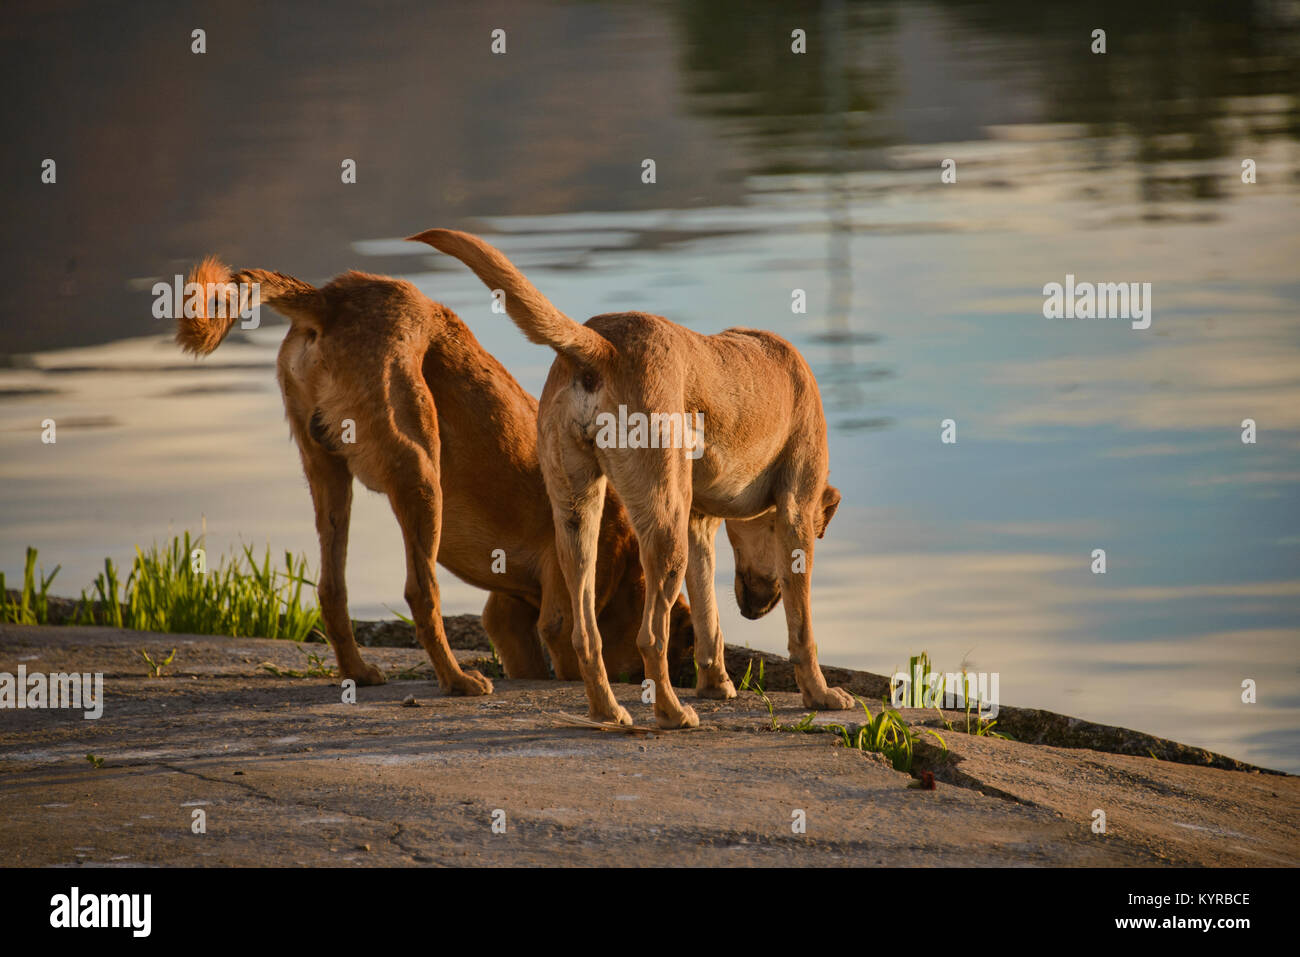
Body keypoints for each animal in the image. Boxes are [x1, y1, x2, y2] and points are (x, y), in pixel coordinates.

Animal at [180, 257, 702, 696]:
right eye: (684, 646)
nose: (683, 679)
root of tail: (333, 296)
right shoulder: (558, 604)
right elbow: (573, 649)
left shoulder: (505, 613)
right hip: (420, 474)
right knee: (421, 592)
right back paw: (456, 680)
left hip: (327, 474)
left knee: (332, 589)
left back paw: (359, 673)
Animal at [410, 227, 847, 728]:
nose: (756, 609)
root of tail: (602, 345)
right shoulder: (795, 512)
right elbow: (801, 628)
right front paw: (820, 694)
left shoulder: (698, 525)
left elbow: (709, 621)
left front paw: (715, 683)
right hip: (663, 531)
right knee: (650, 637)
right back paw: (671, 712)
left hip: (578, 518)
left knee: (583, 632)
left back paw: (608, 710)